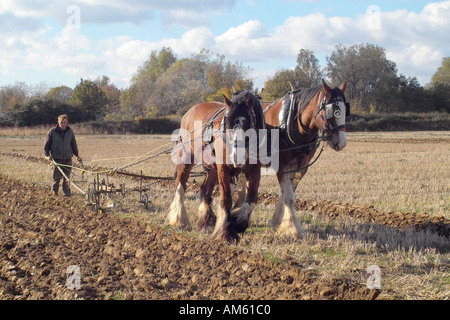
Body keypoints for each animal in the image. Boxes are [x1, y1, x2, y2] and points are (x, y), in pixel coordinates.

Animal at [168, 91, 264, 241]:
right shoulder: (223, 169)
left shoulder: (254, 170)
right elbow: (226, 199)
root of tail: (189, 112)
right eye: (227, 125)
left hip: (212, 168)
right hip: (186, 158)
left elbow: (252, 199)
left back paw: (206, 222)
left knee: (205, 190)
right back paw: (179, 220)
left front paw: (239, 223)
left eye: (248, 124)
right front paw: (226, 232)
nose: (236, 157)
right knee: (180, 185)